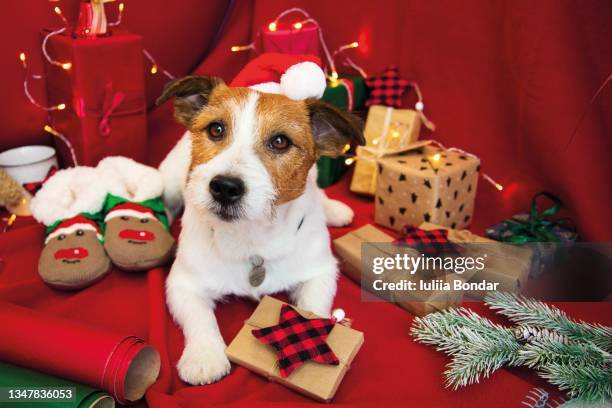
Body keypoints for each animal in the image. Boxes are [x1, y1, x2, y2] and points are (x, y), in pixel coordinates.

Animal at [157, 76, 364, 386]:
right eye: (216, 129)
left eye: (280, 141)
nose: (225, 187)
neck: (251, 237)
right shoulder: (182, 283)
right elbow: (200, 318)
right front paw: (205, 356)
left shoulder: (320, 271)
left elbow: (314, 307)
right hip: (170, 180)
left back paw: (334, 210)